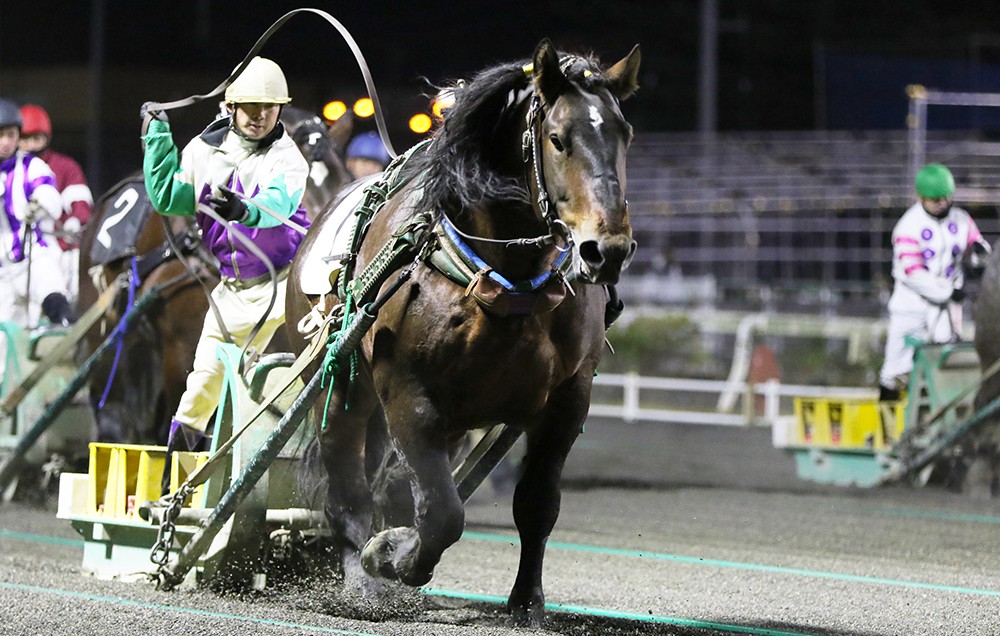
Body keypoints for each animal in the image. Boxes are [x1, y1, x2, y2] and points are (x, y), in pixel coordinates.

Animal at [286, 39, 636, 628]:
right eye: (558, 138)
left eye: (623, 133)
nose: (605, 249)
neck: (507, 281)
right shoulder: (408, 393)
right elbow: (442, 512)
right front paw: (388, 554)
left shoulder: (567, 399)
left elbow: (537, 504)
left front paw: (527, 602)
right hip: (343, 385)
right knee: (347, 485)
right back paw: (361, 582)